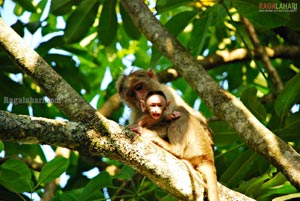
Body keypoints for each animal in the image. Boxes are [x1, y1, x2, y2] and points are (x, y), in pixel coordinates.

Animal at [118, 69, 220, 201]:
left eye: (139, 87)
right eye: (132, 94)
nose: (141, 98)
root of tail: (209, 159)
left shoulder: (167, 92)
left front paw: (145, 129)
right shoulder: (135, 114)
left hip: (198, 144)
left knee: (182, 110)